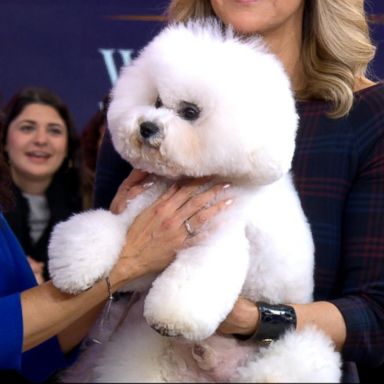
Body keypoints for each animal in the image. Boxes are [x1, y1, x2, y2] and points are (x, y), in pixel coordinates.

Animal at [48, 19, 342, 382]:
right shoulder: (136, 218)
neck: (190, 180)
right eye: (156, 100)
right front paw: (73, 269)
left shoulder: (219, 238)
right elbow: (101, 231)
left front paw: (171, 319)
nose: (146, 127)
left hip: (297, 347)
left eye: (190, 111)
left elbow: (194, 278)